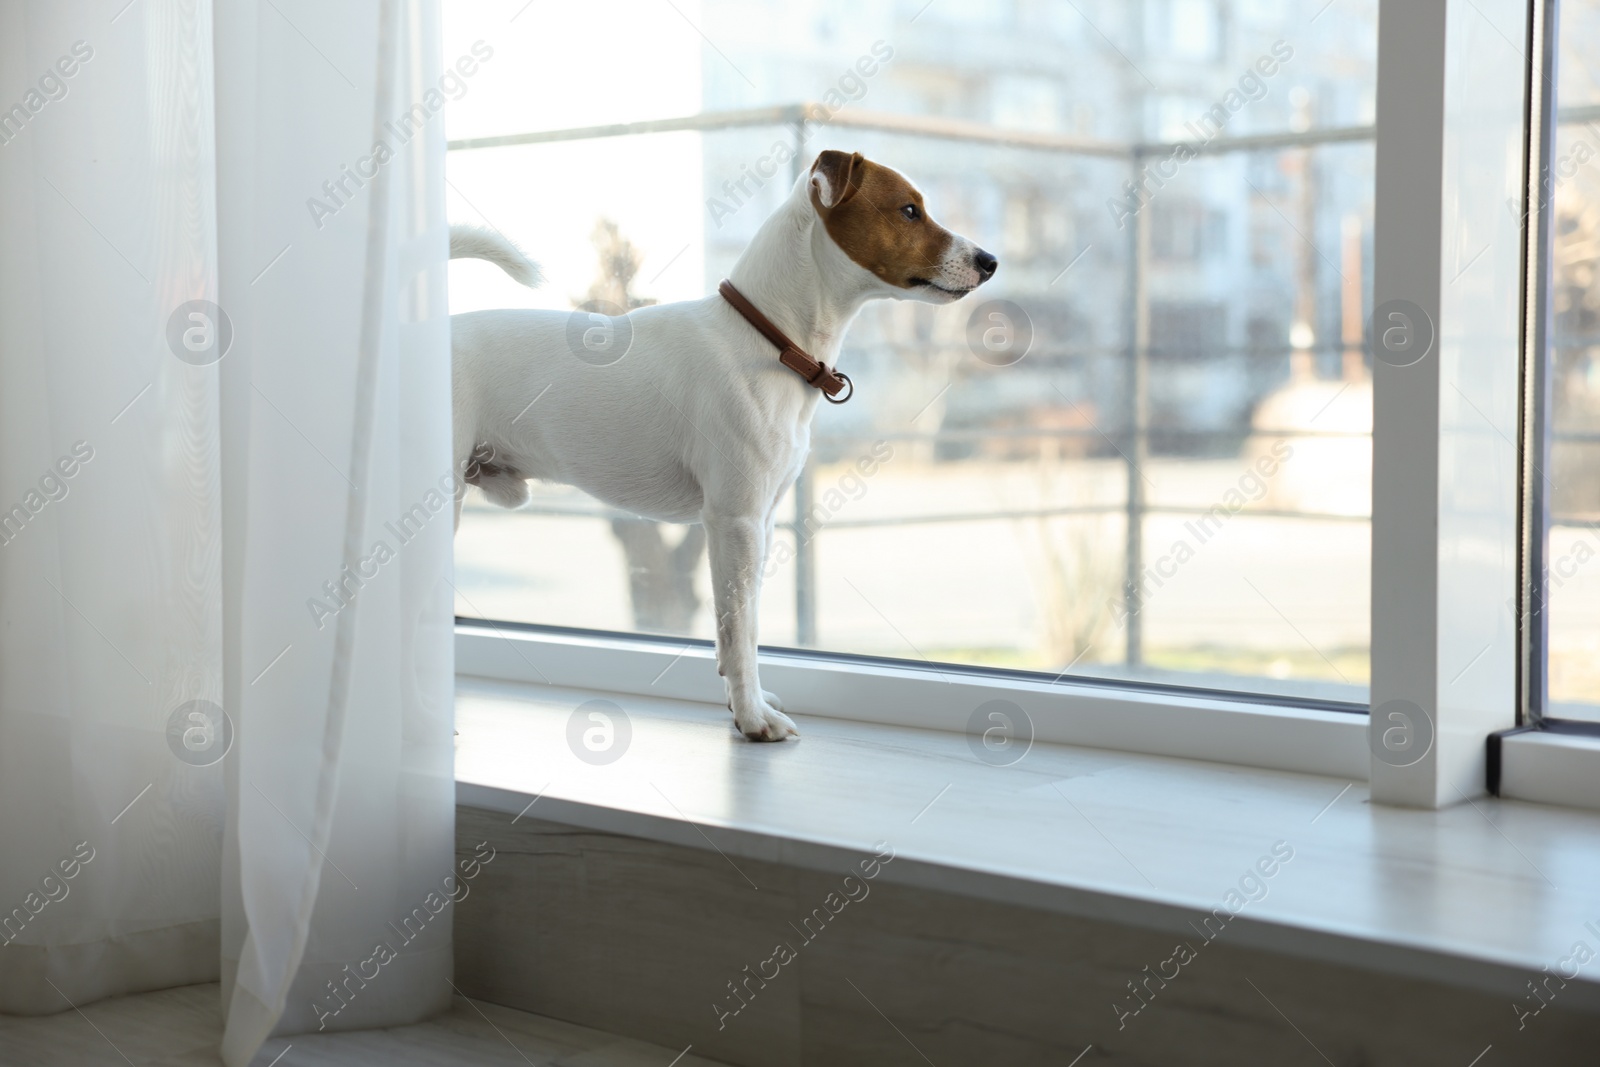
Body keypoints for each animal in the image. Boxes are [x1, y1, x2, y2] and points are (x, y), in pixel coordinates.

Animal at [451, 150, 992, 742]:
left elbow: (741, 627)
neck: (769, 339)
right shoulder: (735, 522)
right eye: (909, 210)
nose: (990, 260)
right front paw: (754, 718)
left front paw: (743, 702)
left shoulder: (763, 521)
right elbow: (739, 629)